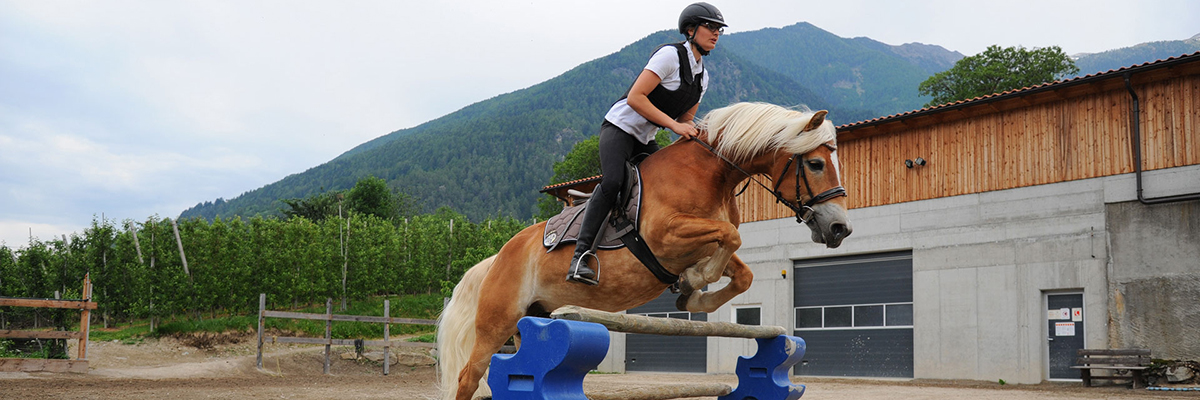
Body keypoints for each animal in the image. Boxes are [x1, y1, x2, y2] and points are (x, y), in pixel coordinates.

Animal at [441, 102, 854, 398]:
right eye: (816, 163)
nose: (840, 229)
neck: (714, 175)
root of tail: (496, 258)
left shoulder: (701, 243)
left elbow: (742, 269)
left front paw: (691, 294)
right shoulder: (667, 236)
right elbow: (729, 238)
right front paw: (693, 283)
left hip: (532, 320)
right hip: (496, 322)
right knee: (468, 378)